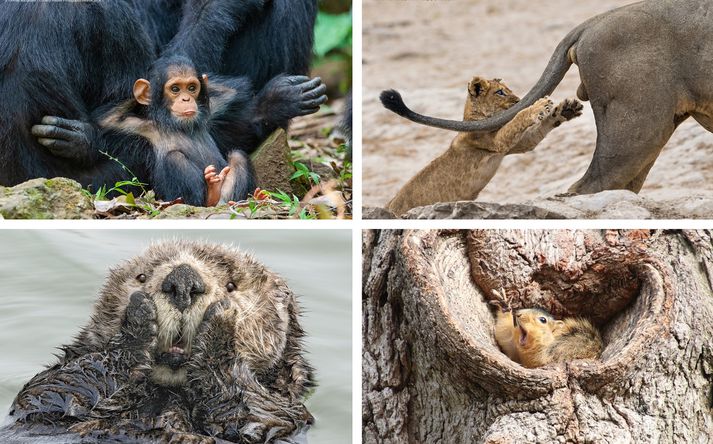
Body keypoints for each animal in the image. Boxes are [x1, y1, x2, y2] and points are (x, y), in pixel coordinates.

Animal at [0, 241, 312, 442]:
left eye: (232, 286)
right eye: (141, 276)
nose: (183, 281)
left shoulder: (285, 414)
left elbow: (257, 416)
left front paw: (222, 322)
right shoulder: (40, 405)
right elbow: (54, 389)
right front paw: (138, 316)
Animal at [98, 55, 326, 206]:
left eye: (191, 88)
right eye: (174, 89)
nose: (185, 99)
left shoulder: (214, 110)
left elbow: (240, 122)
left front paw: (279, 100)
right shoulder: (135, 126)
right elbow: (104, 120)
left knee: (237, 156)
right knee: (174, 158)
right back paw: (210, 195)